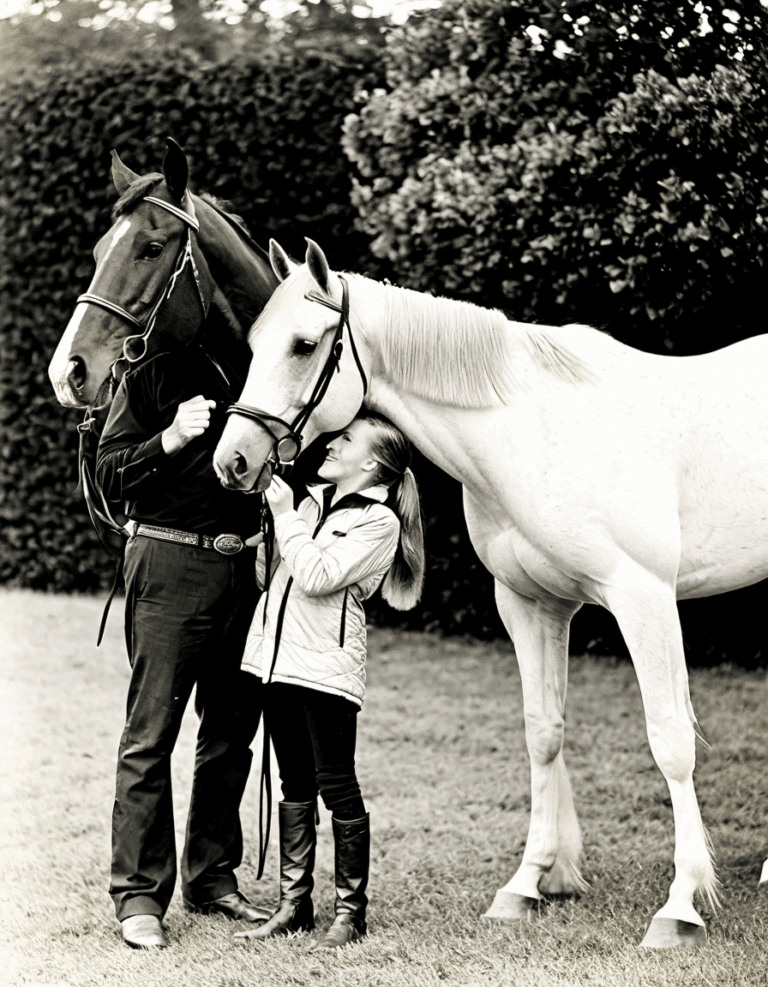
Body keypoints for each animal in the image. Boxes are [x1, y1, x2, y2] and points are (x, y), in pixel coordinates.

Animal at [212, 237, 768, 948]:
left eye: (304, 345)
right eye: (257, 342)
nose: (233, 462)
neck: (537, 432)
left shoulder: (642, 598)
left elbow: (670, 740)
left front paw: (680, 905)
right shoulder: (531, 604)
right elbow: (543, 733)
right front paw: (529, 883)